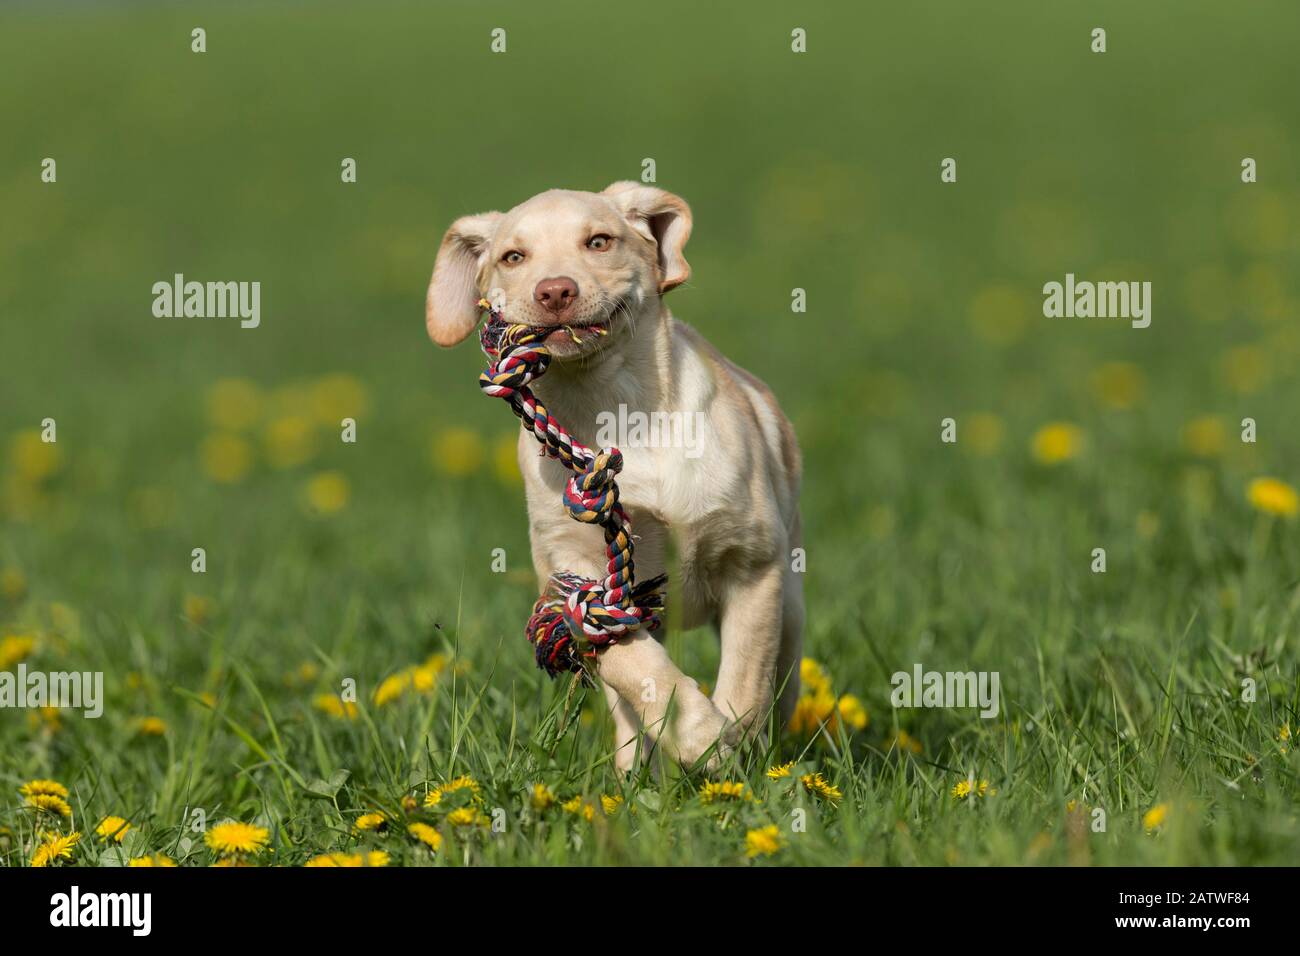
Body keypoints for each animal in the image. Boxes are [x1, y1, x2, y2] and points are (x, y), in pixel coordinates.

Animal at [426, 184, 800, 770]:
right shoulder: (574, 577)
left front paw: (733, 755)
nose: (555, 291)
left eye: (599, 242)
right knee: (628, 713)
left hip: (793, 601)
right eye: (514, 257)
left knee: (782, 681)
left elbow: (746, 678)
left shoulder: (754, 565)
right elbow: (634, 666)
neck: (613, 405)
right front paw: (701, 737)